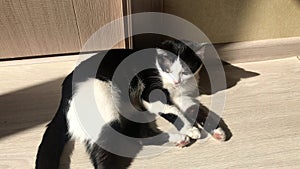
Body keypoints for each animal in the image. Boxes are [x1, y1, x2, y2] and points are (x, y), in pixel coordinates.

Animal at [35, 40, 232, 169]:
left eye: (185, 70)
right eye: (168, 69)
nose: (176, 81)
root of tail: (63, 96)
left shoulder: (184, 98)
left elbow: (196, 110)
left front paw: (217, 130)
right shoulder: (150, 94)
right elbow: (173, 111)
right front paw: (191, 129)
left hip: (129, 110)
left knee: (137, 135)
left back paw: (179, 139)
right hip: (107, 106)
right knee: (113, 145)